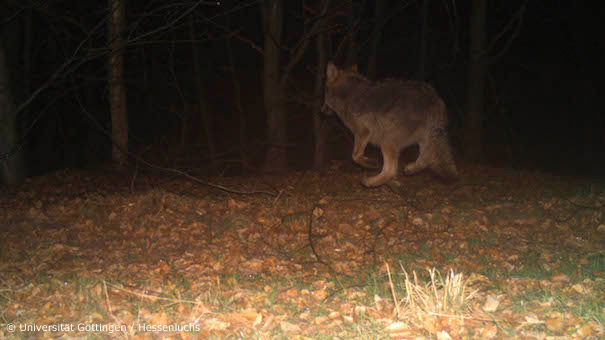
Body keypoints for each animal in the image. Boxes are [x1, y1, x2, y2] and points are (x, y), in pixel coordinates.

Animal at [320, 62, 458, 187]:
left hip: (386, 140)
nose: (321, 110)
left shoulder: (363, 132)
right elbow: (357, 156)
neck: (347, 94)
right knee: (427, 158)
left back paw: (370, 182)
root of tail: (432, 98)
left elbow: (355, 156)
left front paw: (370, 163)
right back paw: (410, 169)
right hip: (424, 139)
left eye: (324, 92)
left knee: (391, 170)